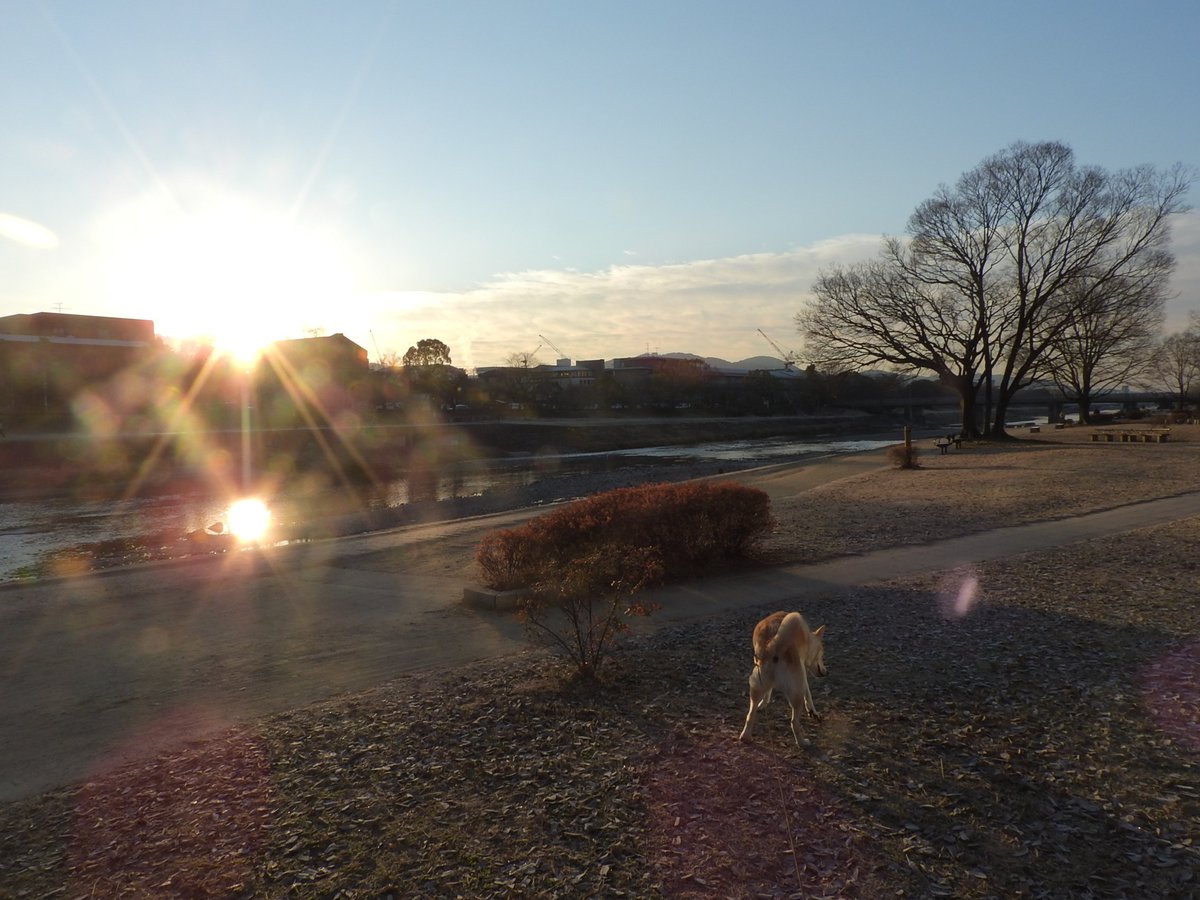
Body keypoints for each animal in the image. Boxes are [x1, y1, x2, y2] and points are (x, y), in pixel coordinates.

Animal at [739, 614, 825, 748]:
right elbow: (808, 694)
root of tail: (772, 646)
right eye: (822, 653)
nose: (826, 672)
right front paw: (813, 712)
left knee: (750, 715)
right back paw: (802, 743)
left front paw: (763, 704)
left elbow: (768, 692)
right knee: (794, 723)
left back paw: (745, 737)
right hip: (796, 695)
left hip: (755, 687)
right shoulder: (802, 675)